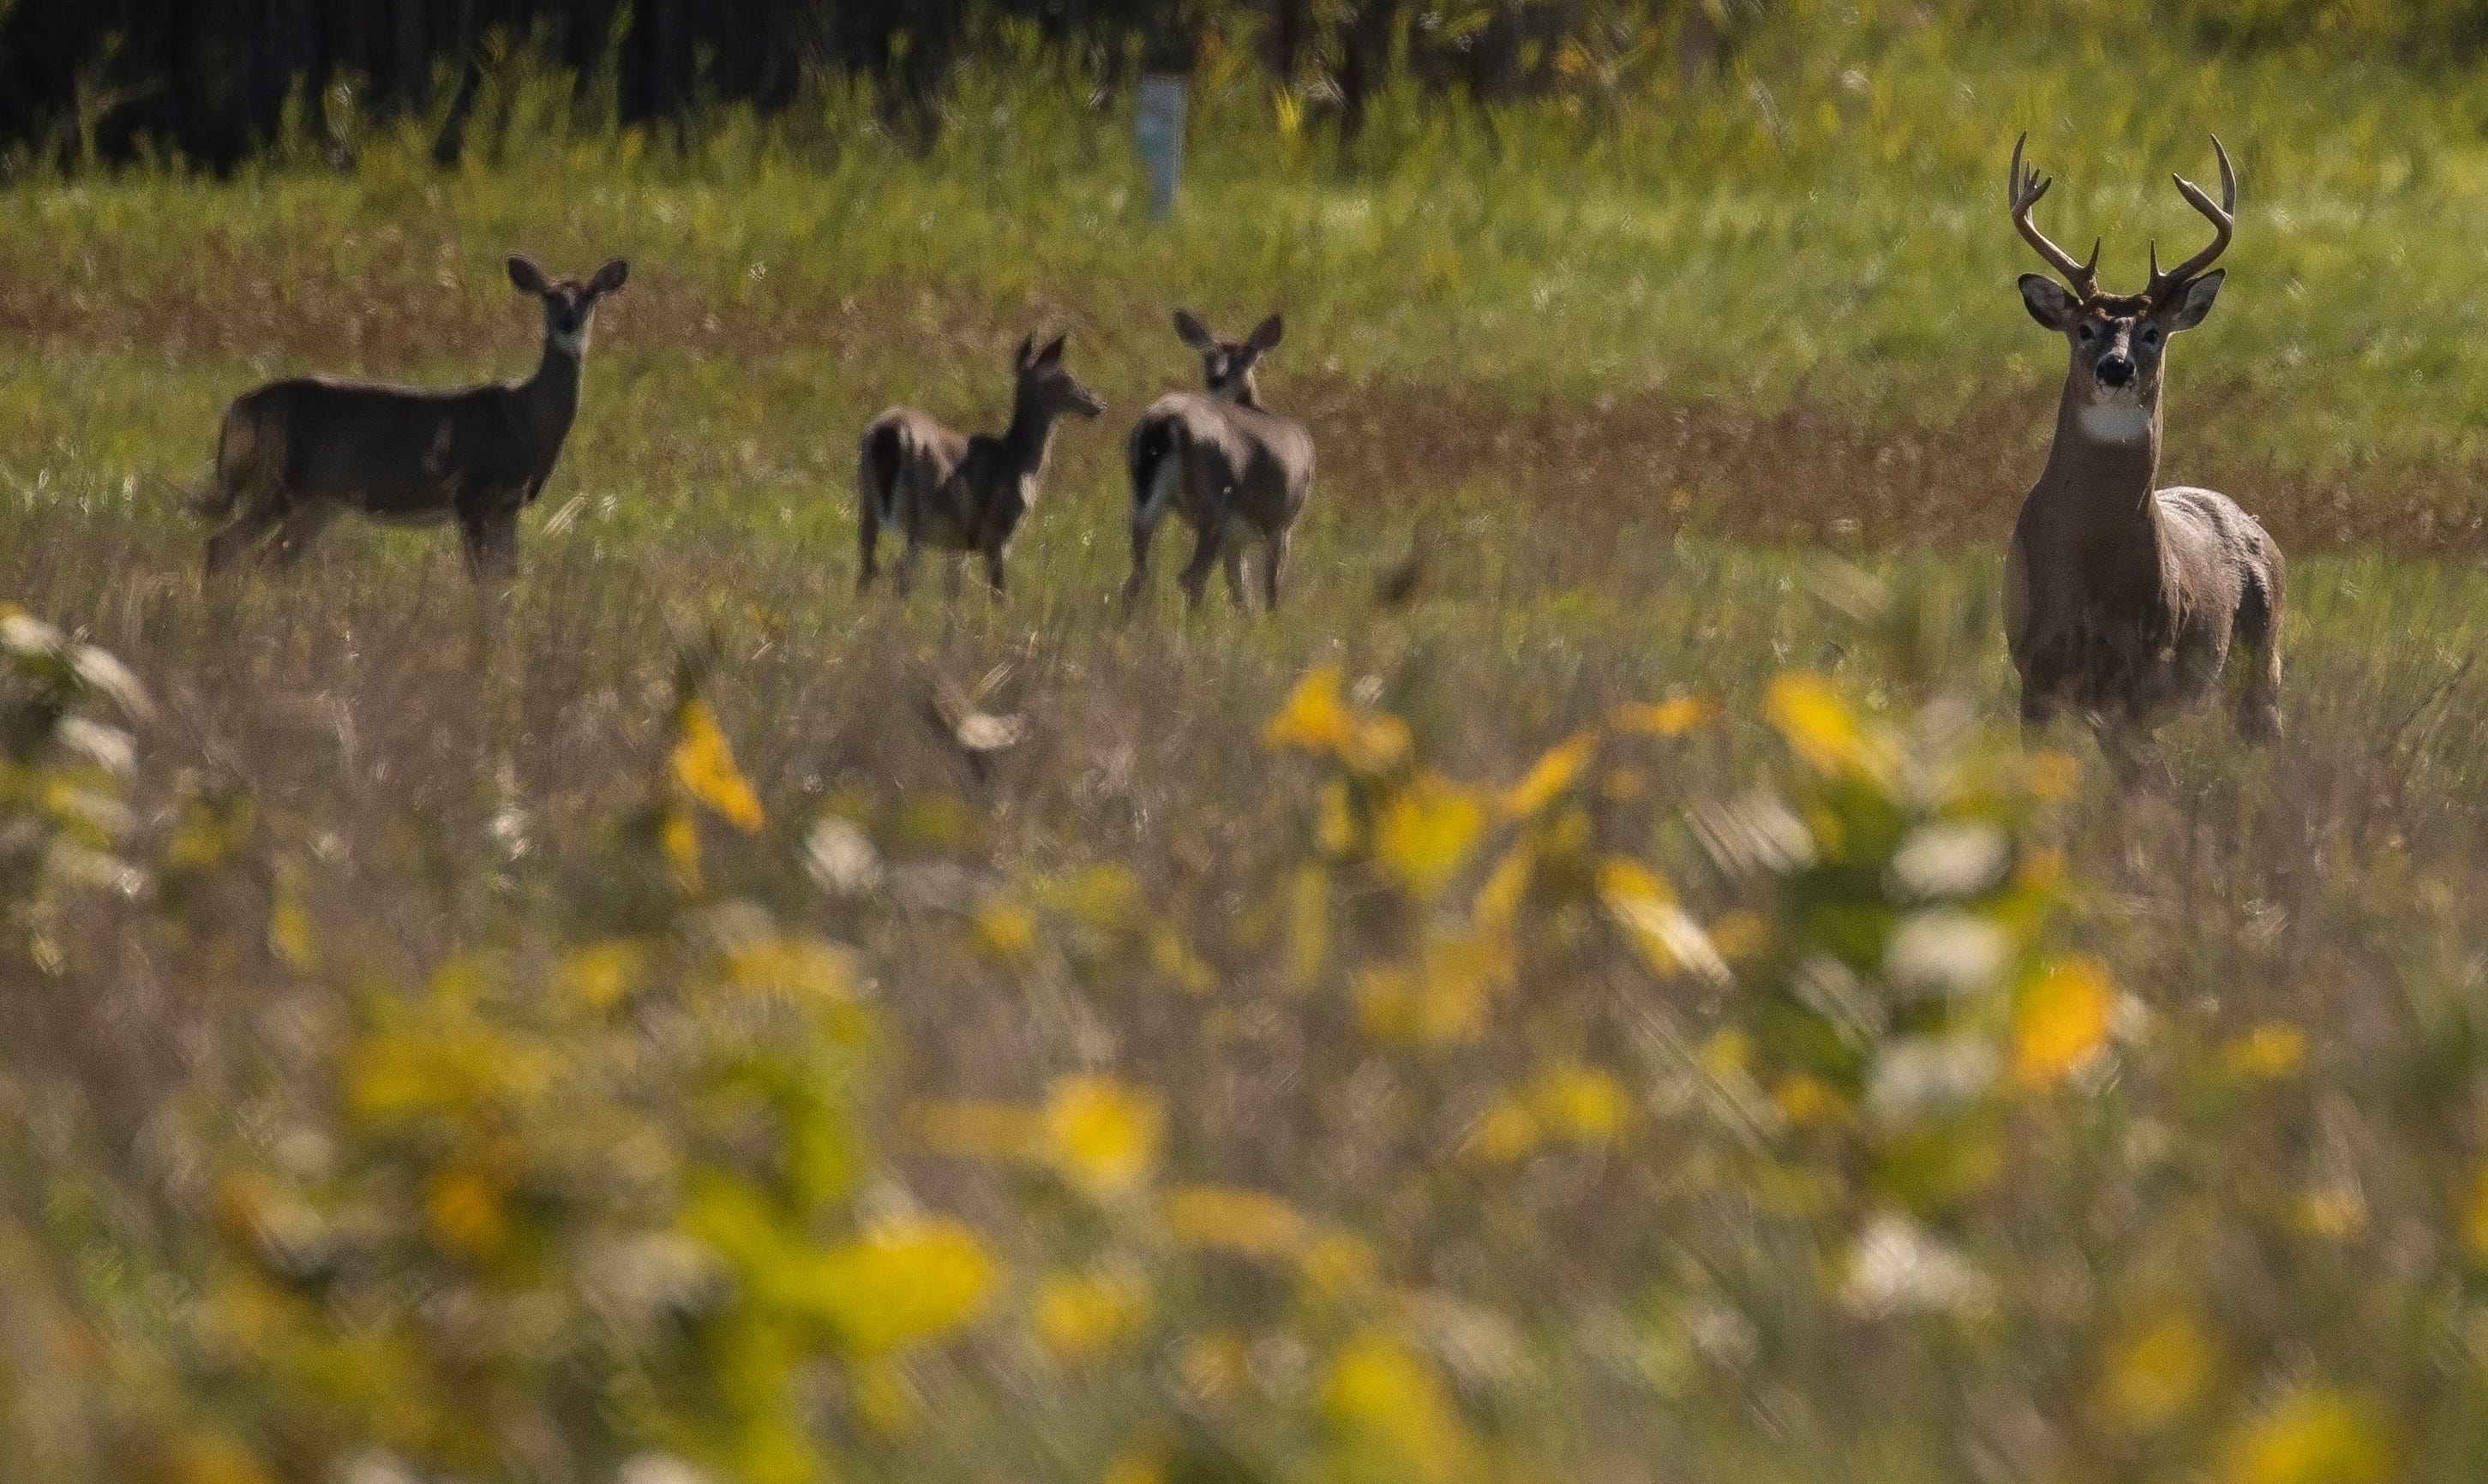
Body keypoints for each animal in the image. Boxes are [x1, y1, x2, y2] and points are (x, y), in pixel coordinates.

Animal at [195, 254, 629, 580]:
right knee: (223, 547)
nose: (568, 322)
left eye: (590, 296)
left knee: (270, 562)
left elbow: (506, 581)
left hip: (320, 501)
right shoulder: (470, 493)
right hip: (281, 479)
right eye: (549, 296)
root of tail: (241, 406)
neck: (526, 417)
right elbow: (483, 583)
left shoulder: (508, 504)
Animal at [856, 332, 1107, 602]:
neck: (1022, 461)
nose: (1099, 403)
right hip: (920, 511)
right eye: (1065, 378)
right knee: (901, 573)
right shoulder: (997, 532)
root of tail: (890, 431)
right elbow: (999, 592)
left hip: (868, 501)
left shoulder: (957, 543)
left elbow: (953, 593)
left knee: (867, 567)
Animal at [1122, 309, 1316, 614]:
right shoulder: (1282, 522)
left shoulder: (1237, 541)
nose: (1216, 378)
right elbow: (1270, 589)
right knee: (1190, 577)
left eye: (1243, 358)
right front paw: (1271, 624)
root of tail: (1166, 421)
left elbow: (1242, 593)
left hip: (1143, 501)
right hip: (1214, 505)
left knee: (1137, 575)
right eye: (1208, 356)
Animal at [2001, 133, 2284, 768]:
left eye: (2152, 332)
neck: (2088, 565)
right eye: (2084, 329)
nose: (2115, 367)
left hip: (2262, 663)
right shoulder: (2034, 674)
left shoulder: (2137, 679)